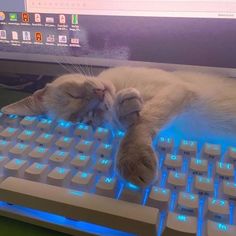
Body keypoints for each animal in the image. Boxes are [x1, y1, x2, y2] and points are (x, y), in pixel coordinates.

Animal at [1, 67, 236, 187]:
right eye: (87, 119)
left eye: (72, 93)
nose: (99, 95)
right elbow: (128, 121)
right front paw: (124, 108)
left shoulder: (177, 89)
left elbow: (142, 120)